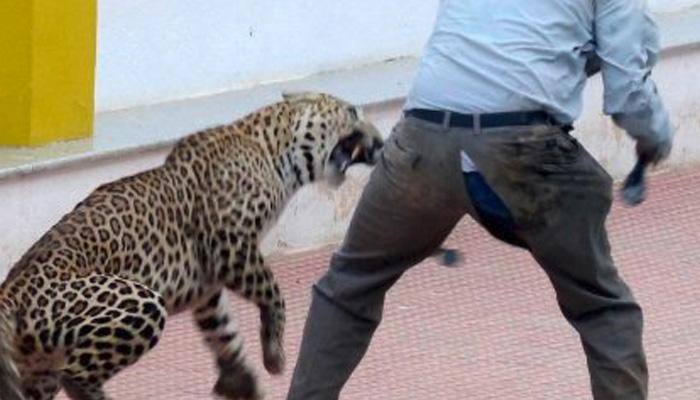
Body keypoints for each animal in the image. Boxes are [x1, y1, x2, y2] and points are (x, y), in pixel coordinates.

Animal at [0, 92, 382, 398]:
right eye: (352, 112)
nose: (379, 143)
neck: (273, 151)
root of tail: (12, 291)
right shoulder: (231, 245)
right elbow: (274, 292)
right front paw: (274, 354)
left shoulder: (207, 285)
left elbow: (224, 330)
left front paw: (241, 380)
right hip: (141, 304)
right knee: (76, 376)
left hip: (36, 367)